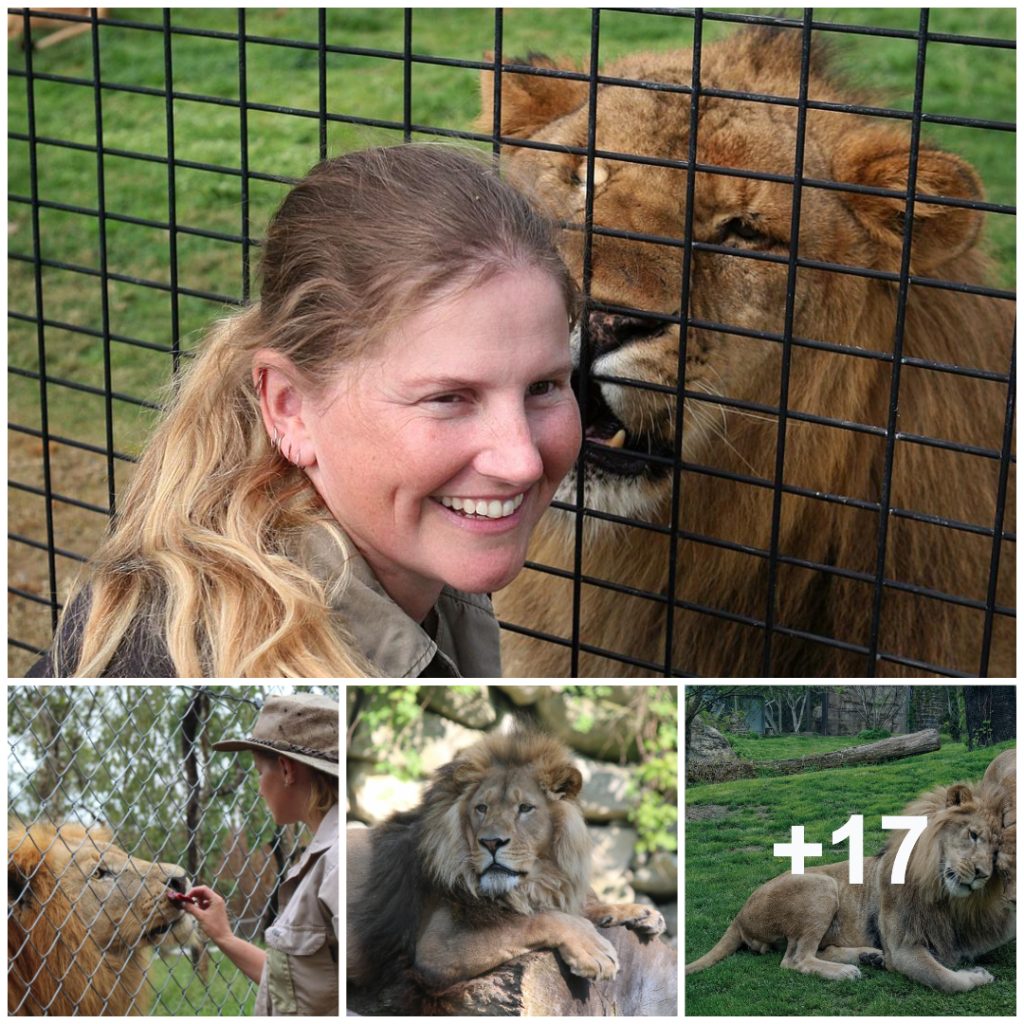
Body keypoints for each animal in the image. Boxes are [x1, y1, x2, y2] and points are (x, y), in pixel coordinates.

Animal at [684, 774, 1011, 991]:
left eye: (996, 851)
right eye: (973, 835)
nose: (982, 874)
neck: (939, 890)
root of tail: (739, 916)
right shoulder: (903, 948)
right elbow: (945, 979)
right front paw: (976, 975)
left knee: (817, 950)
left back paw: (869, 957)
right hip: (821, 887)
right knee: (795, 959)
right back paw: (845, 972)